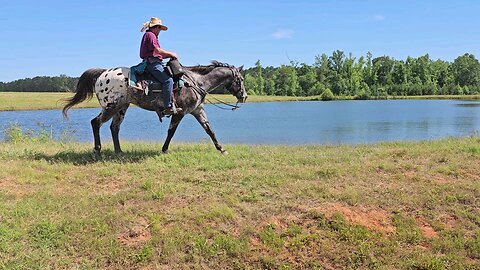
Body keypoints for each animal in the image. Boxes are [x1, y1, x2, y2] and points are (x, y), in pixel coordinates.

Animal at [62, 59, 248, 155]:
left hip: (121, 108)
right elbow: (171, 132)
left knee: (114, 128)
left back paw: (119, 151)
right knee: (96, 123)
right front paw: (164, 149)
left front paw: (221, 149)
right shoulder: (180, 112)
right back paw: (97, 150)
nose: (245, 96)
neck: (196, 81)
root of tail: (102, 73)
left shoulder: (198, 110)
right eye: (241, 79)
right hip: (111, 107)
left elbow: (209, 130)